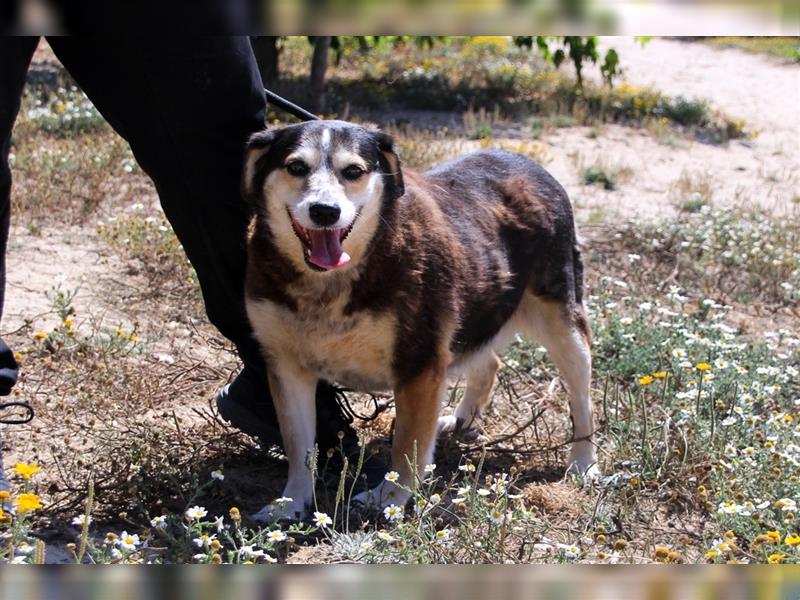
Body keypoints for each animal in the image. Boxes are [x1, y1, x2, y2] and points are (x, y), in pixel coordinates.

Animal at [241, 119, 596, 516]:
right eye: (296, 167)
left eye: (354, 172)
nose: (324, 211)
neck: (330, 284)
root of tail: (533, 165)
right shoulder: (286, 366)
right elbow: (298, 446)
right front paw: (290, 504)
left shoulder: (420, 363)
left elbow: (407, 444)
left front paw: (390, 497)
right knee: (489, 362)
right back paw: (461, 422)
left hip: (563, 324)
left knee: (582, 399)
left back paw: (583, 462)